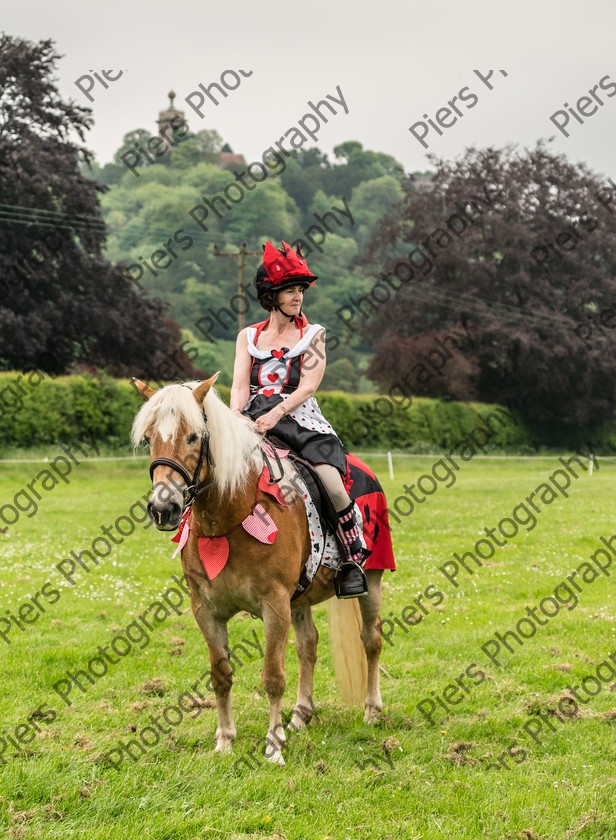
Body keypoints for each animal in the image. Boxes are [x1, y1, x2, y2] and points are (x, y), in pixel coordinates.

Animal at [132, 374, 382, 760]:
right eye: (148, 438)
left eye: (193, 436)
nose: (163, 508)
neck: (229, 514)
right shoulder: (206, 611)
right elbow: (221, 675)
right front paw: (224, 741)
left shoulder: (275, 606)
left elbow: (273, 677)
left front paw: (274, 745)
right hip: (301, 598)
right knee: (308, 645)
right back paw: (301, 715)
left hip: (372, 578)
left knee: (371, 640)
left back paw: (371, 710)